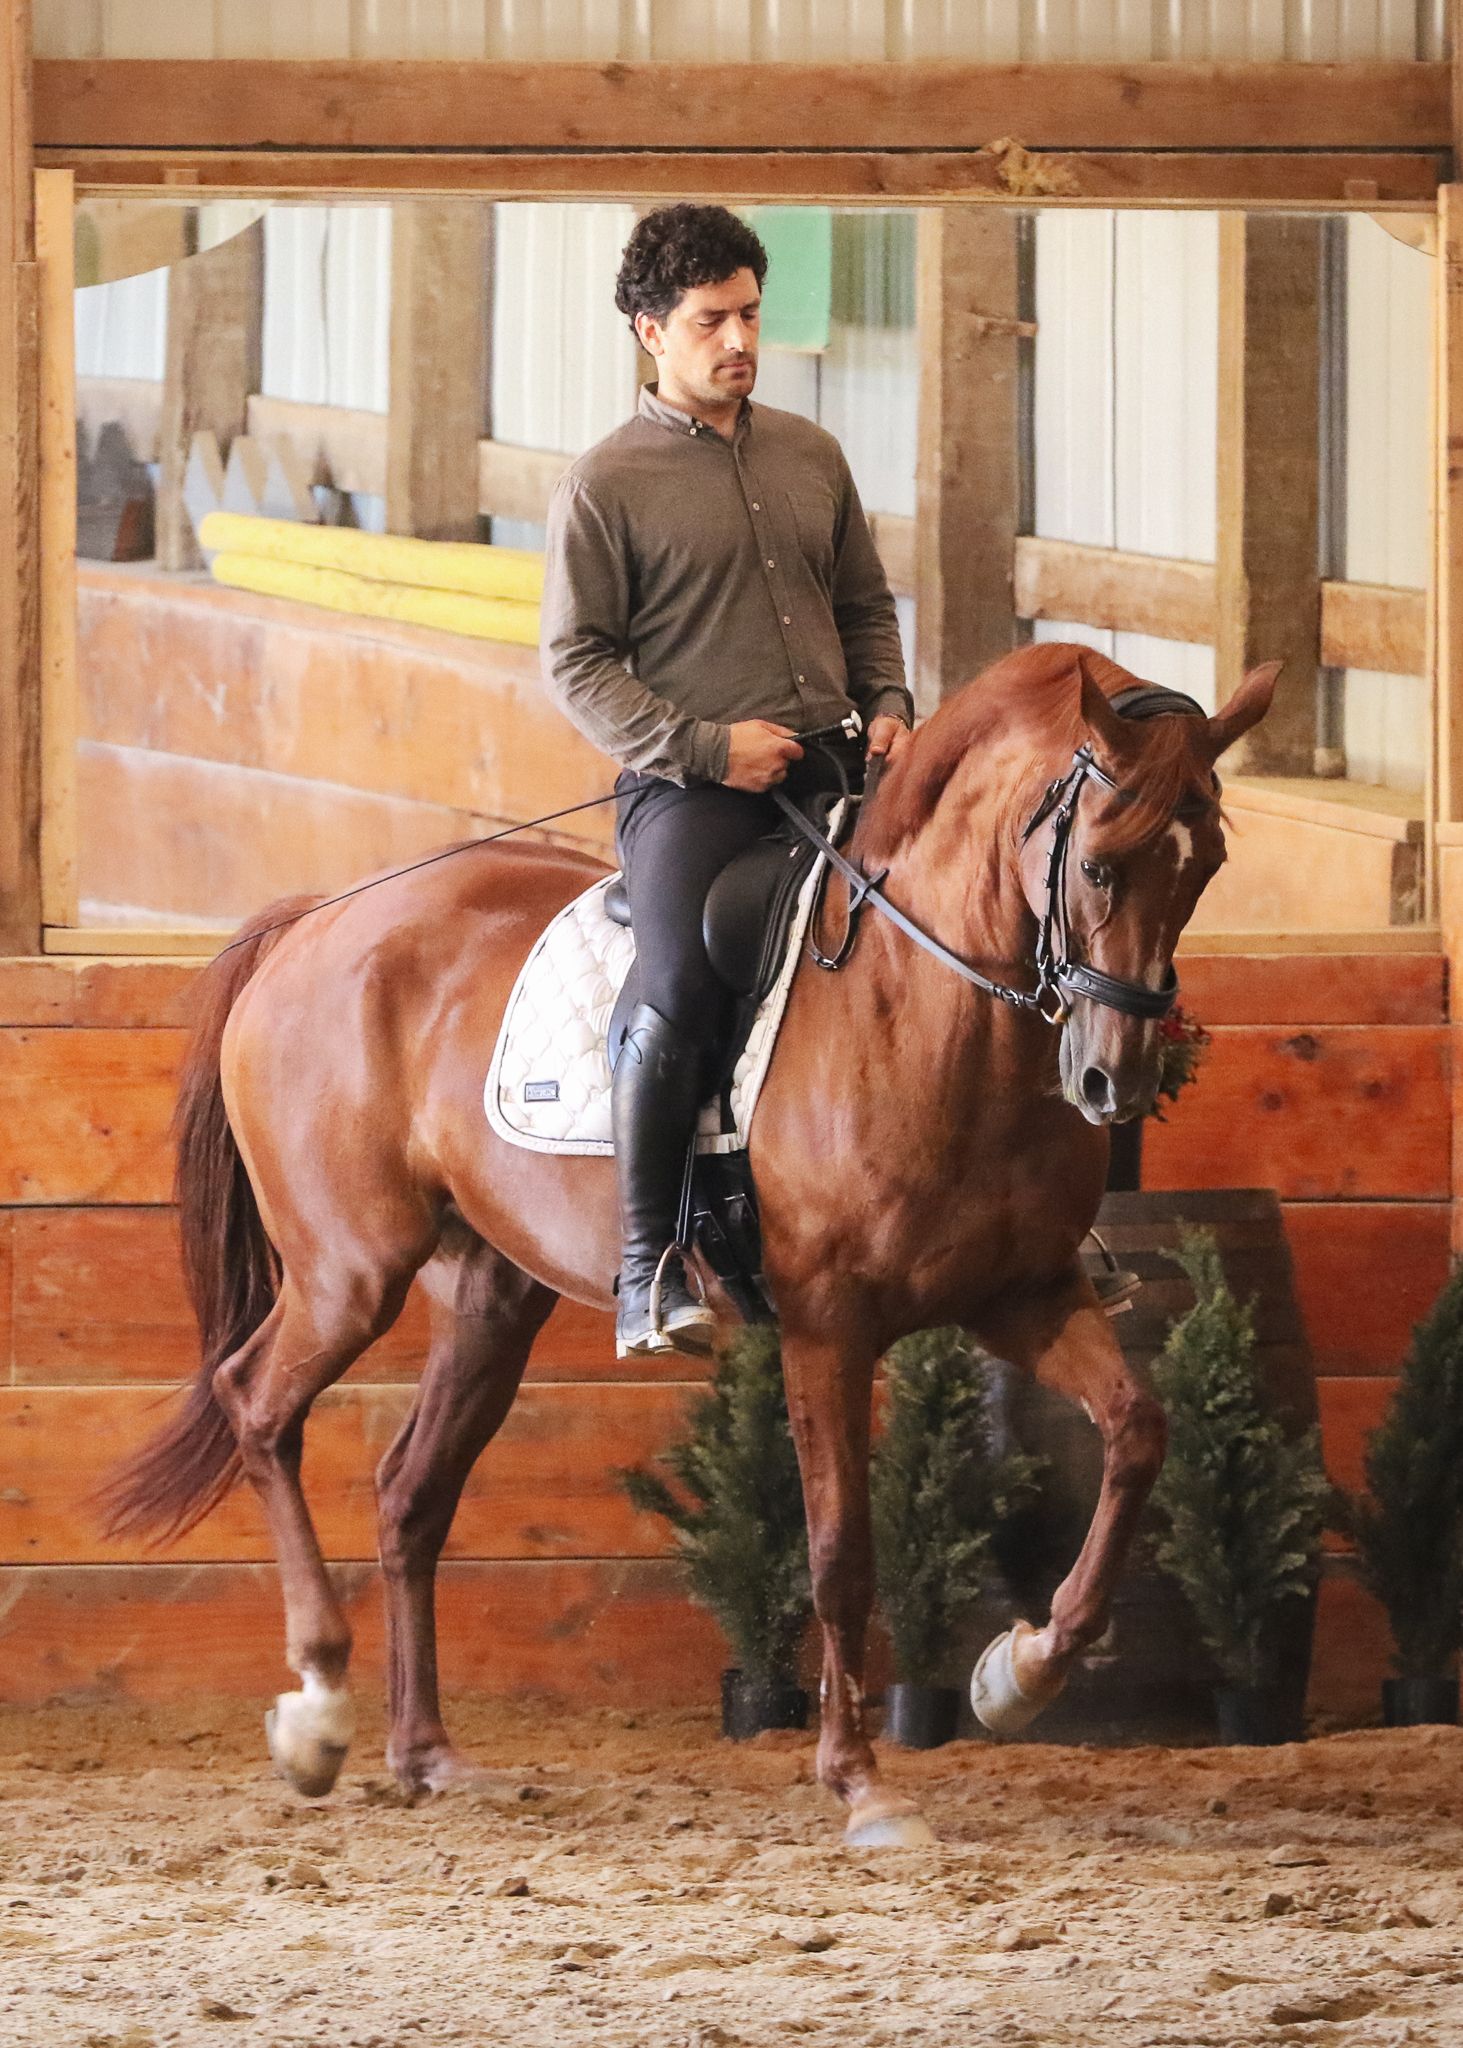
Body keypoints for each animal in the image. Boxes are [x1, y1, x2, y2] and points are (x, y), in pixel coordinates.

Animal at [102, 641, 1276, 1848]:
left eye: (1205, 866)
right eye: (1096, 865)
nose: (1111, 1081)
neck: (921, 1008)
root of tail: (310, 923)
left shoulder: (1025, 1294)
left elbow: (1136, 1433)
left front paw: (1020, 1672)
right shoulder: (825, 1326)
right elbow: (838, 1550)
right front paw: (857, 1782)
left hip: (488, 1298)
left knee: (407, 1491)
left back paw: (425, 1753)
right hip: (349, 1273)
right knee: (257, 1405)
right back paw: (318, 1709)